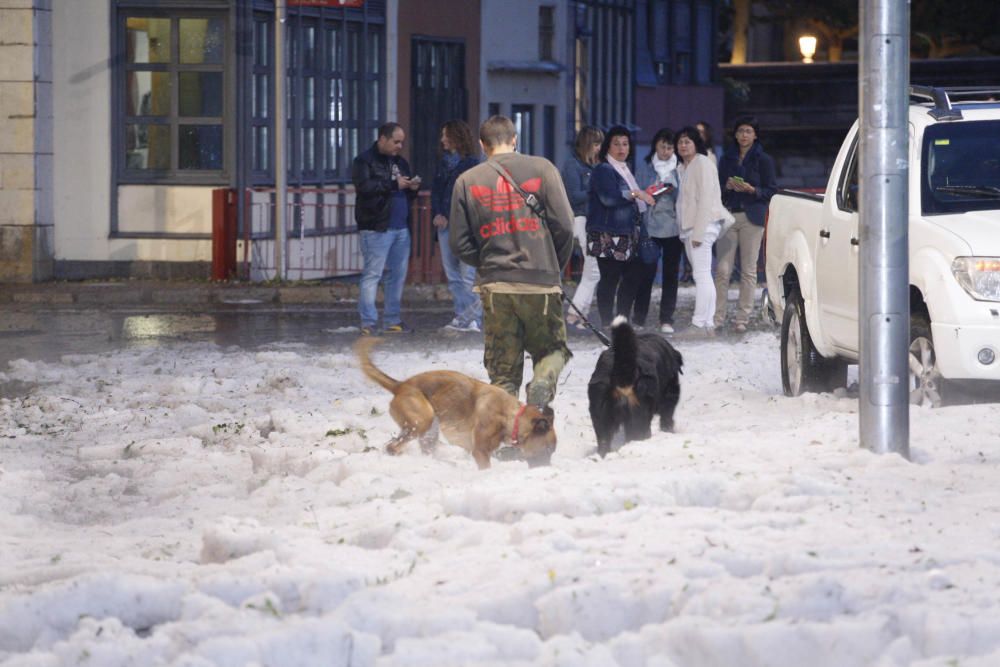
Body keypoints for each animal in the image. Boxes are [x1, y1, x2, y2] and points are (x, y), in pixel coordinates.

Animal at [354, 340, 560, 470]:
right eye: (548, 450)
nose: (548, 470)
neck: (511, 417)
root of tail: (400, 385)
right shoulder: (480, 452)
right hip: (423, 420)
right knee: (392, 447)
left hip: (429, 430)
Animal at [588, 316, 684, 456]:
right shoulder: (670, 396)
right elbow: (667, 417)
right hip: (639, 412)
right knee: (639, 434)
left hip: (601, 413)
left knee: (604, 440)